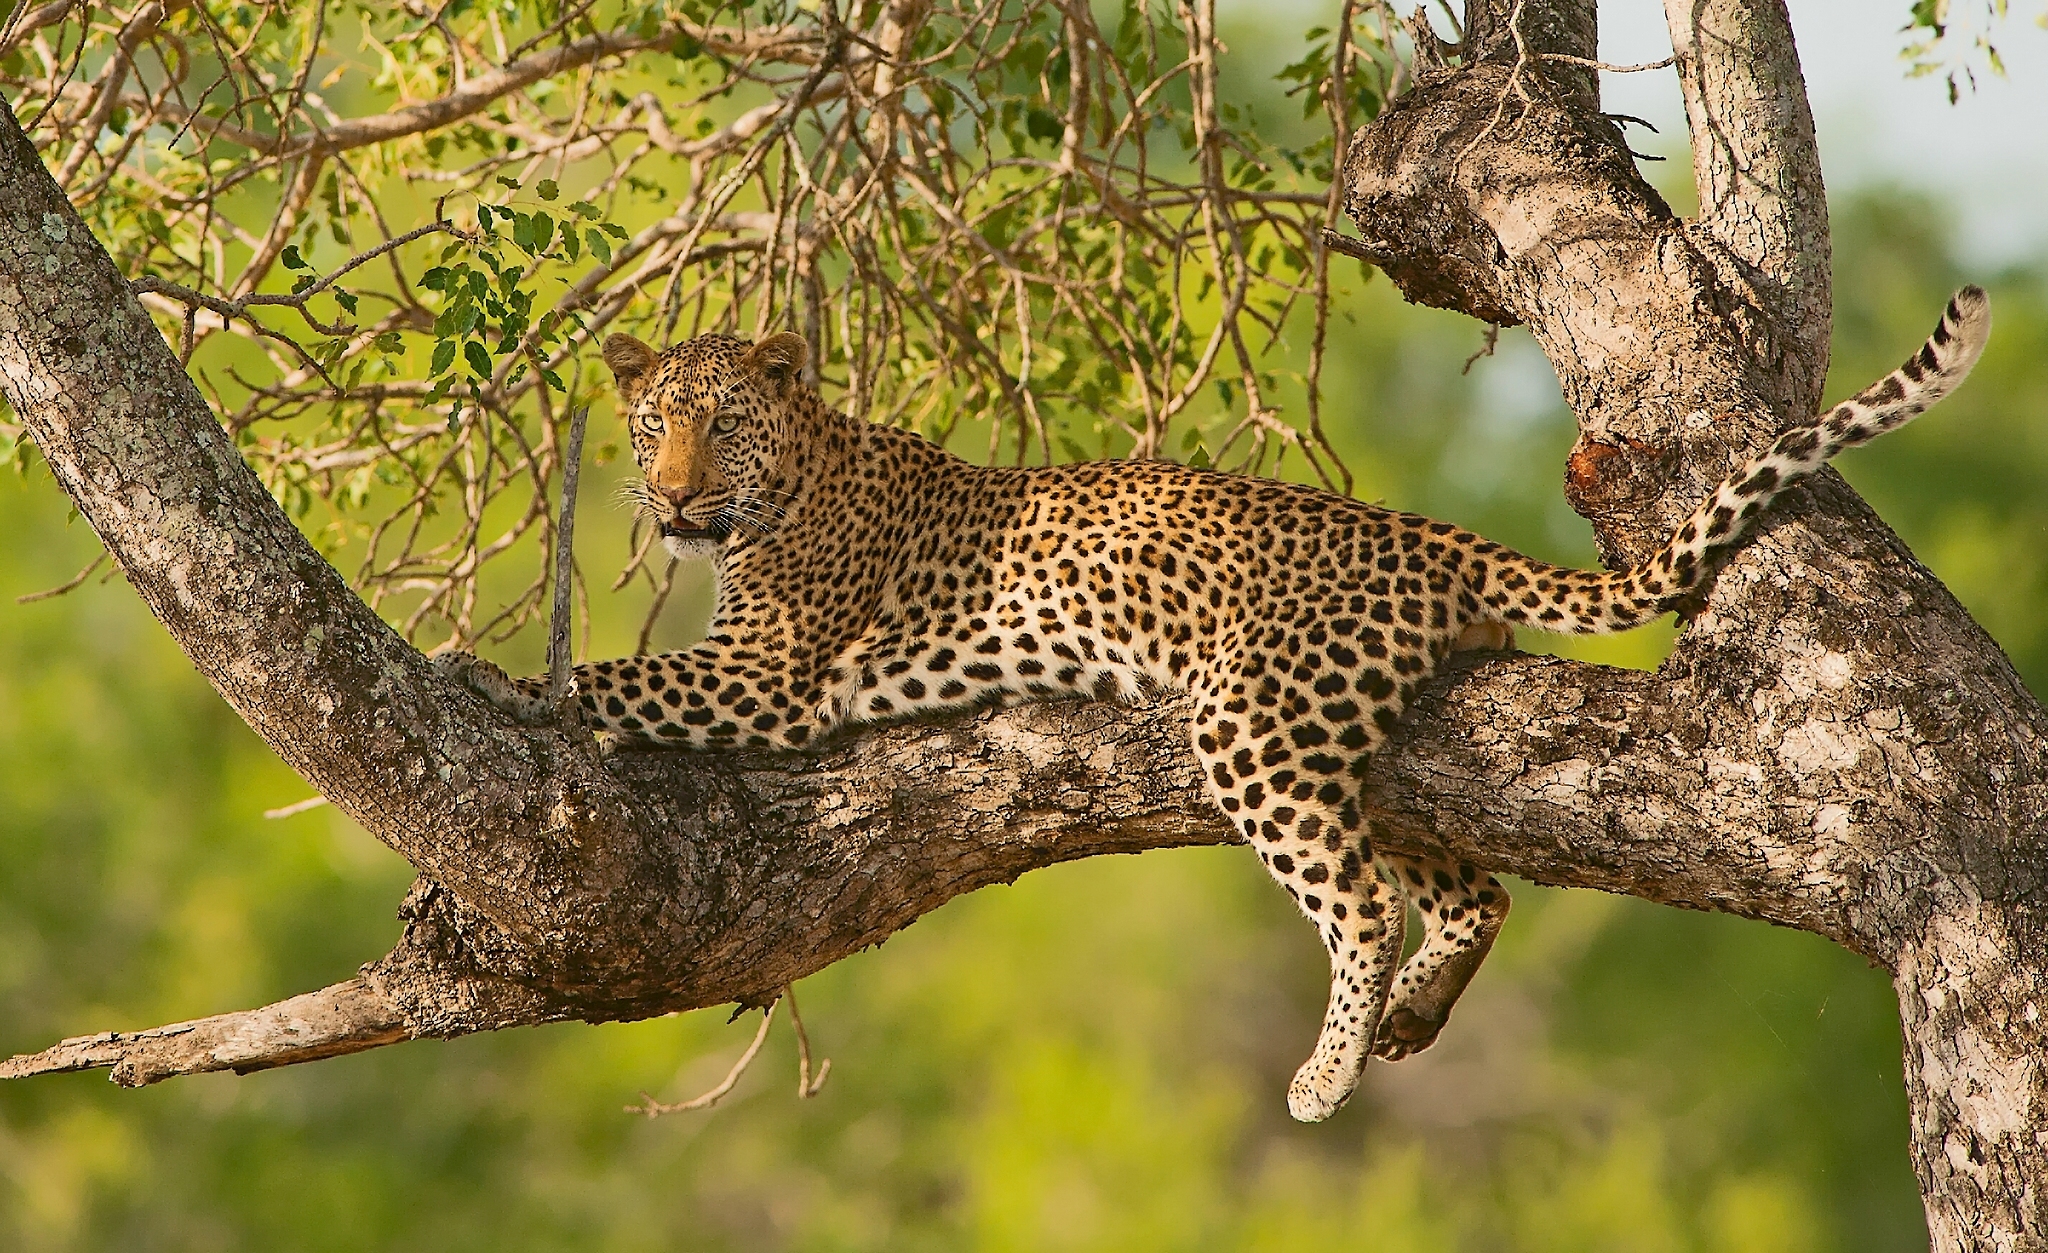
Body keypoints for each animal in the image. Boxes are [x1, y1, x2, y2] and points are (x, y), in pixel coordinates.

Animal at [440, 286, 1990, 1121]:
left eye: (722, 424)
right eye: (653, 425)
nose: (671, 498)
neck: (792, 482)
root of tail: (1420, 534)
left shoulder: (769, 678)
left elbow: (600, 676)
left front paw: (479, 672)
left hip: (1252, 721)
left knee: (1361, 903)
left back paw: (1326, 1071)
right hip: (1353, 738)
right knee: (1470, 886)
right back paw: (1411, 1020)